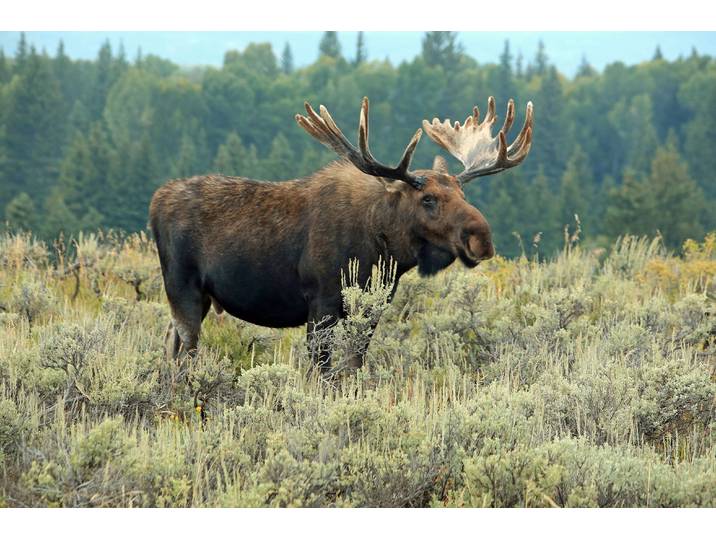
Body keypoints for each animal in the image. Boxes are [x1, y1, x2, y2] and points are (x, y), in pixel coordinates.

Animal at [149, 96, 533, 375]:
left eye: (463, 193)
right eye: (428, 198)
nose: (481, 238)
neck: (384, 250)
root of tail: (155, 200)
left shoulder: (372, 306)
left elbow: (353, 366)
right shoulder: (322, 300)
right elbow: (322, 369)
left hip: (199, 297)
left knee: (171, 342)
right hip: (182, 286)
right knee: (186, 348)